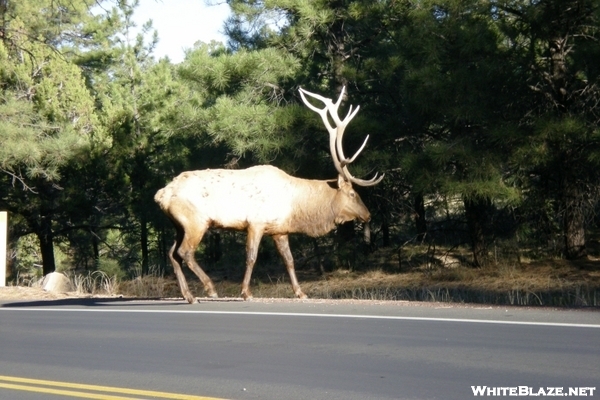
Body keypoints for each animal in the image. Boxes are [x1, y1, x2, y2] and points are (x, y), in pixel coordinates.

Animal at [155, 86, 384, 302]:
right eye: (353, 194)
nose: (368, 215)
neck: (296, 207)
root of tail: (162, 194)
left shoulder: (279, 230)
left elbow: (289, 260)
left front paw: (300, 293)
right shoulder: (256, 223)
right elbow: (251, 257)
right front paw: (246, 292)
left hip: (180, 225)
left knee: (172, 254)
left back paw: (188, 295)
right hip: (196, 221)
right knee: (185, 252)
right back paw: (209, 289)